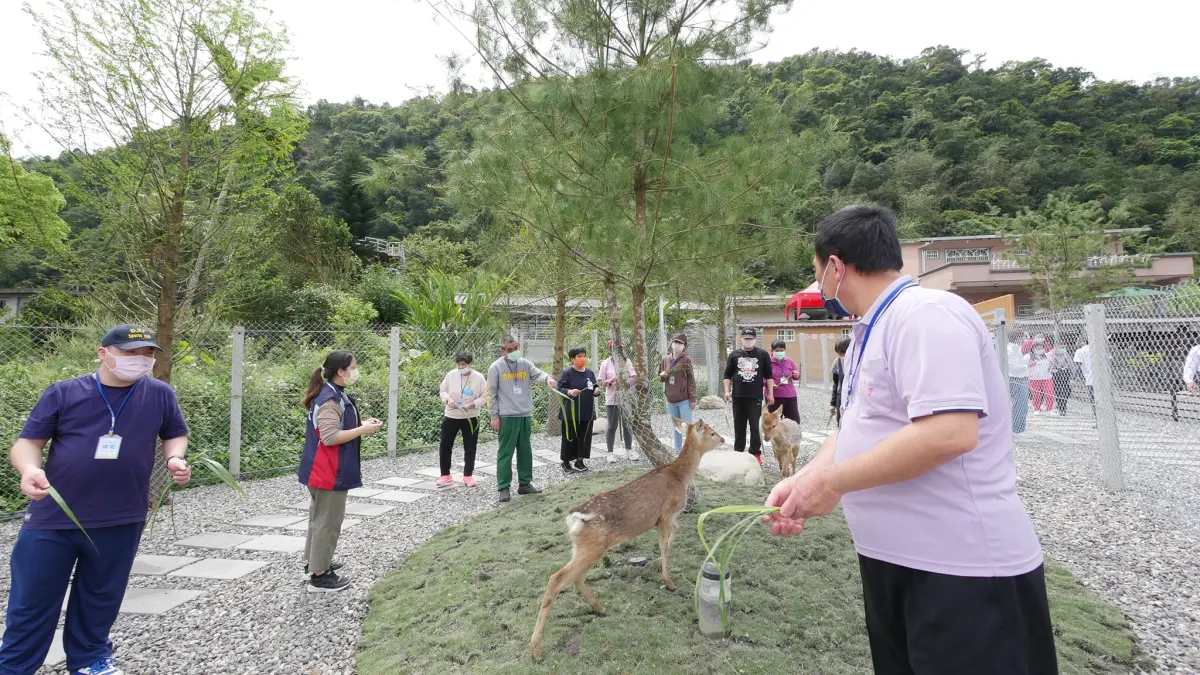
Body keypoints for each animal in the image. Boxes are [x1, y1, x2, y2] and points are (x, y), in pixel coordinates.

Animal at [530, 417, 725, 661]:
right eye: (712, 432)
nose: (723, 438)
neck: (680, 476)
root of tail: (574, 517)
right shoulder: (666, 513)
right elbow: (664, 545)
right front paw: (669, 582)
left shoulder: (665, 518)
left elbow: (675, 533)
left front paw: (658, 565)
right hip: (593, 546)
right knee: (557, 578)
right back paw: (536, 649)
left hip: (582, 547)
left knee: (574, 577)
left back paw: (598, 606)